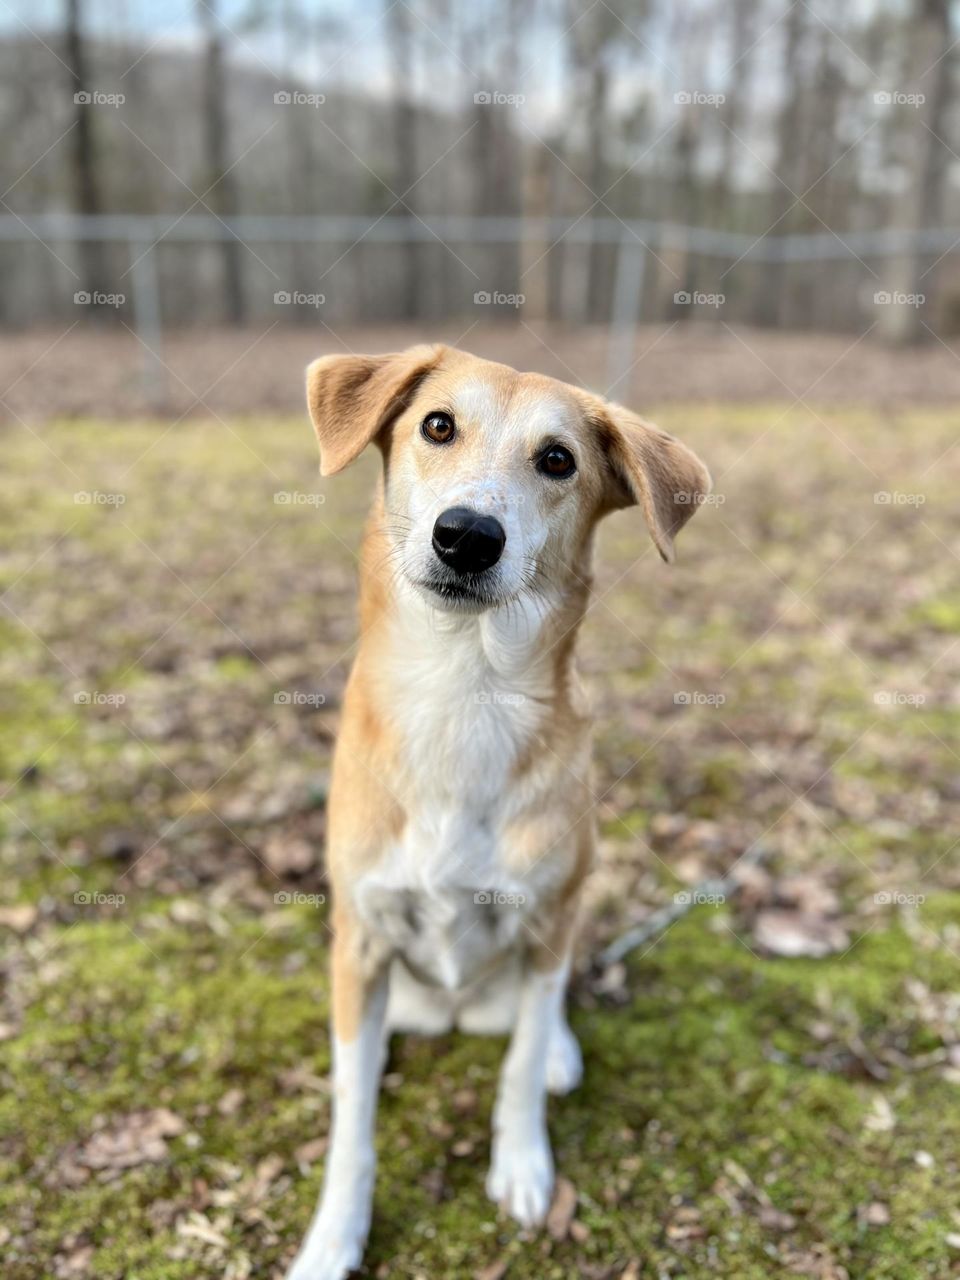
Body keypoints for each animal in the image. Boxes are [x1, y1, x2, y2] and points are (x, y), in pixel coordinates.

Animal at [281, 343, 711, 1280]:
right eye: (438, 425)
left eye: (558, 460)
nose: (468, 535)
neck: (463, 691)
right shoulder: (360, 938)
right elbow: (351, 1122)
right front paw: (334, 1234)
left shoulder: (549, 918)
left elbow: (517, 1064)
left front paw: (522, 1165)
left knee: (541, 1017)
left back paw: (556, 1051)